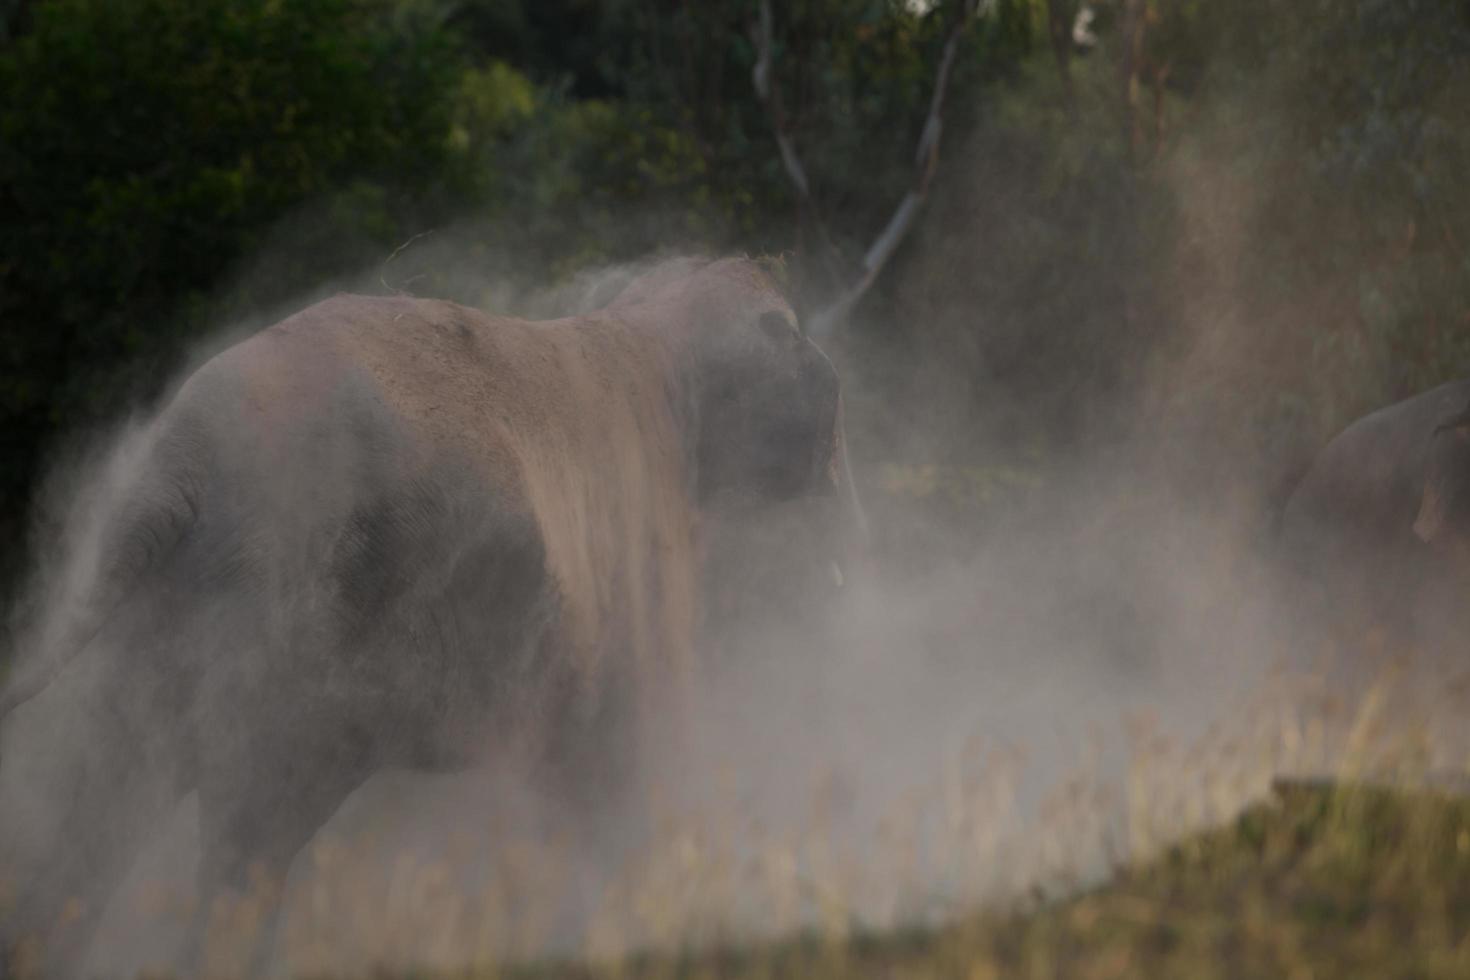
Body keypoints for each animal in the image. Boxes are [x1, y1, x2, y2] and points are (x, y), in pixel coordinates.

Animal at [0, 257, 858, 975]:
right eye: (794, 332)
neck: (646, 324)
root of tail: (179, 463)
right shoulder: (635, 563)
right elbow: (629, 748)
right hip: (294, 616)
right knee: (252, 828)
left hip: (164, 617)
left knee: (100, 799)